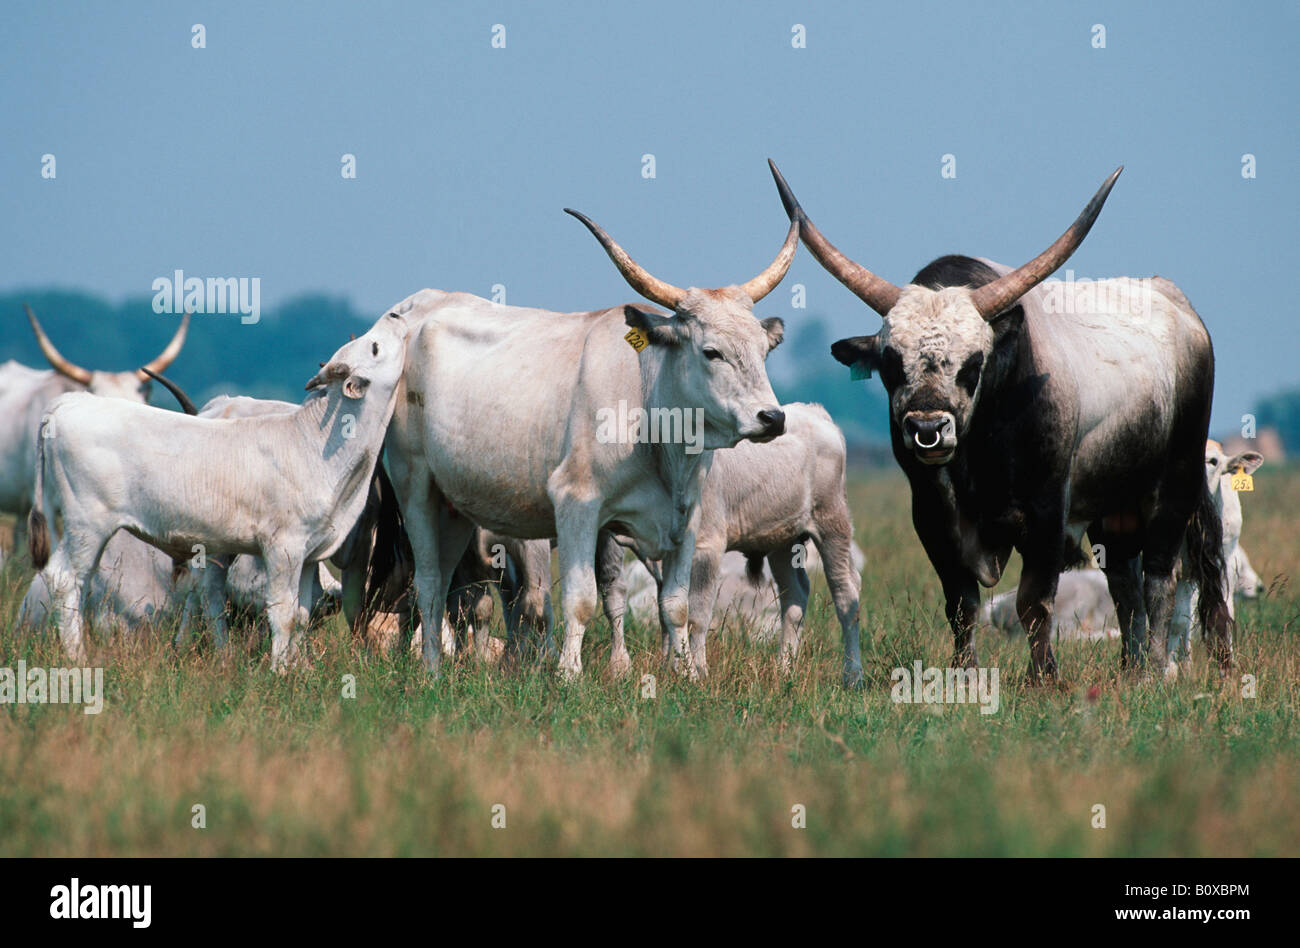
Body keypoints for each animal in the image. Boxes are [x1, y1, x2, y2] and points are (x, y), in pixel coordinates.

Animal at [27, 309, 409, 668]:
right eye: (374, 347)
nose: (395, 314)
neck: (314, 441)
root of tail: (70, 403)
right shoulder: (283, 546)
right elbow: (283, 612)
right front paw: (280, 672)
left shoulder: (310, 553)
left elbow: (301, 613)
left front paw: (300, 670)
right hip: (86, 524)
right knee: (65, 580)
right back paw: (77, 659)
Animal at [387, 202, 798, 679]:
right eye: (711, 352)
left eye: (763, 350)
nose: (772, 417)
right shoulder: (577, 503)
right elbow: (579, 600)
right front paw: (568, 674)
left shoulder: (688, 519)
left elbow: (676, 606)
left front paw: (682, 674)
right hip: (414, 485)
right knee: (429, 582)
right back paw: (431, 671)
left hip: (453, 507)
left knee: (447, 580)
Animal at [595, 402, 863, 684]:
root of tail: (814, 411)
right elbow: (666, 604)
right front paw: (673, 667)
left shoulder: (706, 546)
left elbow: (697, 614)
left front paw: (697, 670)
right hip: (783, 539)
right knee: (795, 597)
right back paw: (784, 669)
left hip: (833, 521)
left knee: (846, 592)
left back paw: (853, 675)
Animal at [769, 160, 1232, 680]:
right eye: (890, 363)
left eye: (974, 363)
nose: (927, 430)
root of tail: (1177, 303)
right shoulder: (931, 515)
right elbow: (961, 603)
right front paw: (964, 674)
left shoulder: (1048, 510)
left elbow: (1035, 601)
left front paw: (1043, 677)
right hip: (1114, 504)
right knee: (1125, 584)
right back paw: (1131, 670)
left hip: (1173, 483)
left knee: (1159, 578)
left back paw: (1153, 669)